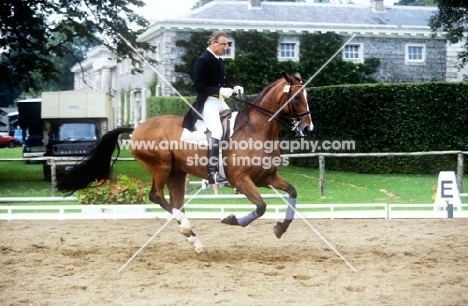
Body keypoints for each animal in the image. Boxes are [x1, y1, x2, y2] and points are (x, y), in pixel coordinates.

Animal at [58, 71, 314, 253]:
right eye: (297, 97)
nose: (307, 128)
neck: (257, 129)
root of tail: (137, 128)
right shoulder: (240, 179)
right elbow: (261, 207)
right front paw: (231, 219)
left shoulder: (266, 177)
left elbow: (292, 192)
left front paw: (280, 228)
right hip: (161, 167)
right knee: (156, 196)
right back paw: (185, 226)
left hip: (177, 174)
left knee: (176, 202)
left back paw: (195, 241)